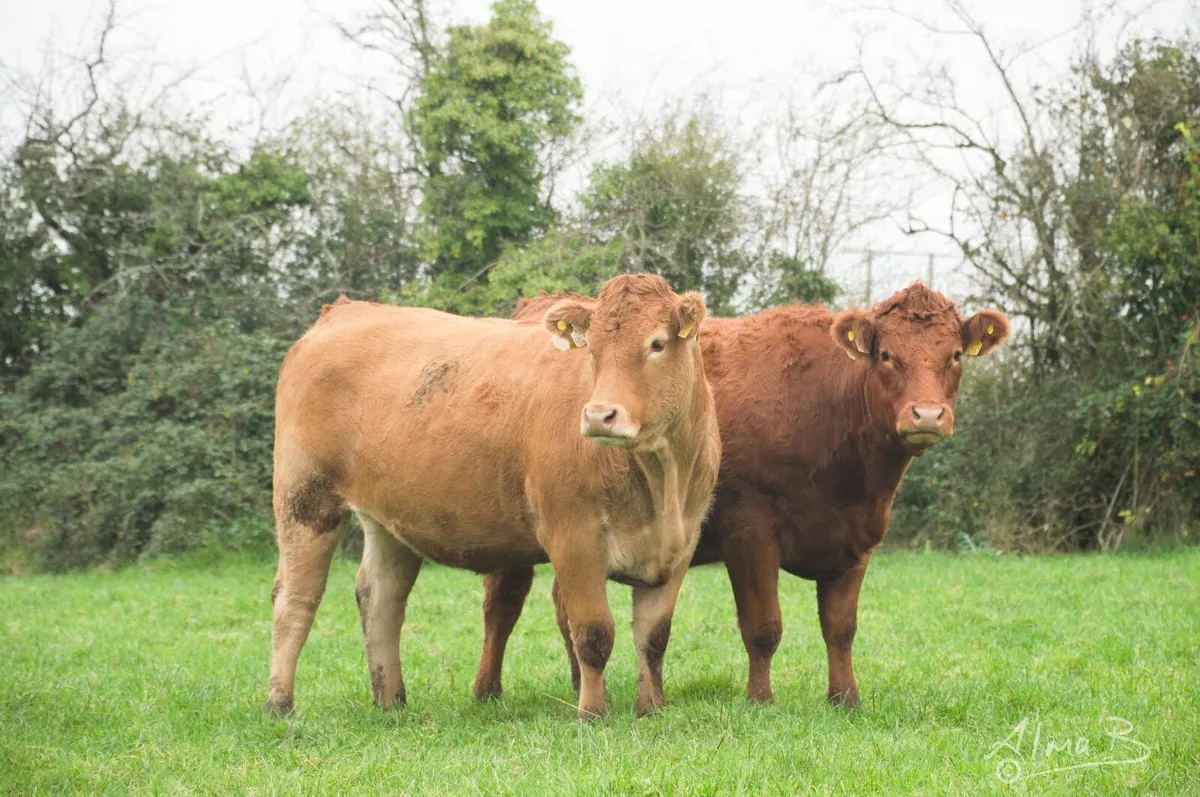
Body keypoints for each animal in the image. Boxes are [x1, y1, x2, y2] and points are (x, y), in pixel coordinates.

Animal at [267, 274, 721, 721]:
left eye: (657, 343)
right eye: (592, 347)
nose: (598, 416)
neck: (661, 481)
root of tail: (345, 310)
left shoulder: (680, 545)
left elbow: (654, 636)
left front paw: (651, 708)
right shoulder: (574, 539)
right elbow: (593, 633)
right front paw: (592, 713)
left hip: (386, 520)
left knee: (380, 598)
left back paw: (391, 699)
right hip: (304, 499)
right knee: (295, 600)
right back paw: (280, 703)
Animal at [473, 282, 1008, 707]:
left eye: (954, 356)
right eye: (886, 356)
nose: (927, 414)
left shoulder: (858, 540)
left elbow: (841, 628)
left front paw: (845, 698)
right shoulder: (751, 533)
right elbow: (764, 626)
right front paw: (760, 699)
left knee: (565, 606)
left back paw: (576, 685)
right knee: (503, 607)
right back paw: (488, 690)